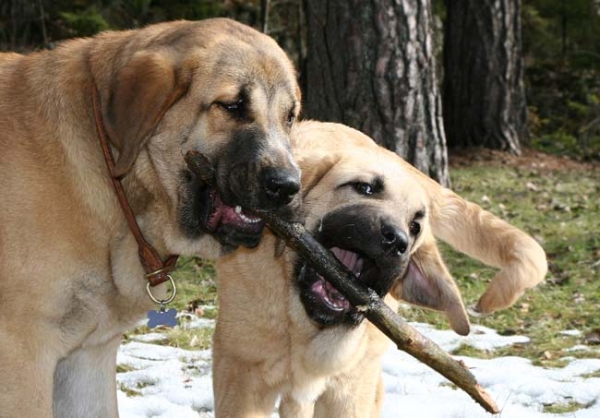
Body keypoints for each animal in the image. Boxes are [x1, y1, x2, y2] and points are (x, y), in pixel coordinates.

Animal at [213, 119, 548, 416]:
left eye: (415, 226)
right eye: (364, 188)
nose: (397, 241)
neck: (305, 329)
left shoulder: (349, 390)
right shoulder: (240, 376)